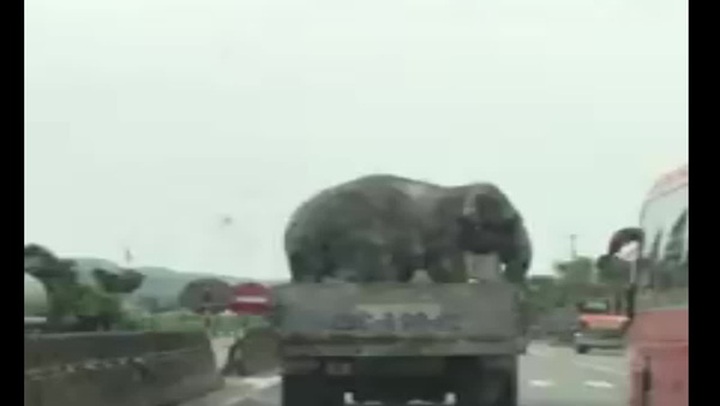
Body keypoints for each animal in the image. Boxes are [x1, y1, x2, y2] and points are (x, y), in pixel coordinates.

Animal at [284, 174, 532, 284]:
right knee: (372, 268)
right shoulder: (444, 235)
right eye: (511, 222)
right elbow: (446, 269)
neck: (458, 190)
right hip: (354, 237)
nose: (508, 276)